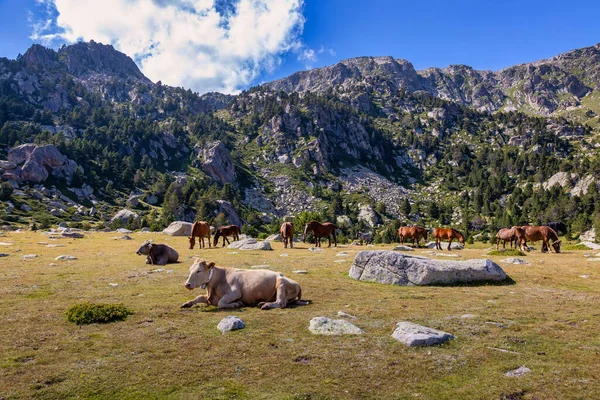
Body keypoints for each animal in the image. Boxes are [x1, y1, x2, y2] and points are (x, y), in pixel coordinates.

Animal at [180, 258, 308, 310]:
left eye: (198, 271)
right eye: (190, 269)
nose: (187, 284)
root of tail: (298, 285)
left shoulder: (235, 292)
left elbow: (221, 303)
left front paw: (237, 304)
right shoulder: (209, 297)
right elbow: (198, 297)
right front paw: (187, 303)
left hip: (281, 283)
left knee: (281, 303)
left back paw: (265, 305)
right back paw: (263, 303)